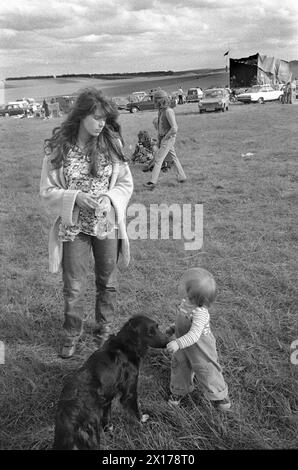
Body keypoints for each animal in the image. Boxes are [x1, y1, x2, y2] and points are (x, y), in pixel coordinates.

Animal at [53, 314, 169, 450]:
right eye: (150, 333)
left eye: (157, 327)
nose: (168, 341)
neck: (126, 345)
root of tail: (69, 419)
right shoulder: (129, 392)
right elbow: (135, 412)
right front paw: (142, 423)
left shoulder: (107, 398)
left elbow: (107, 416)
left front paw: (109, 429)